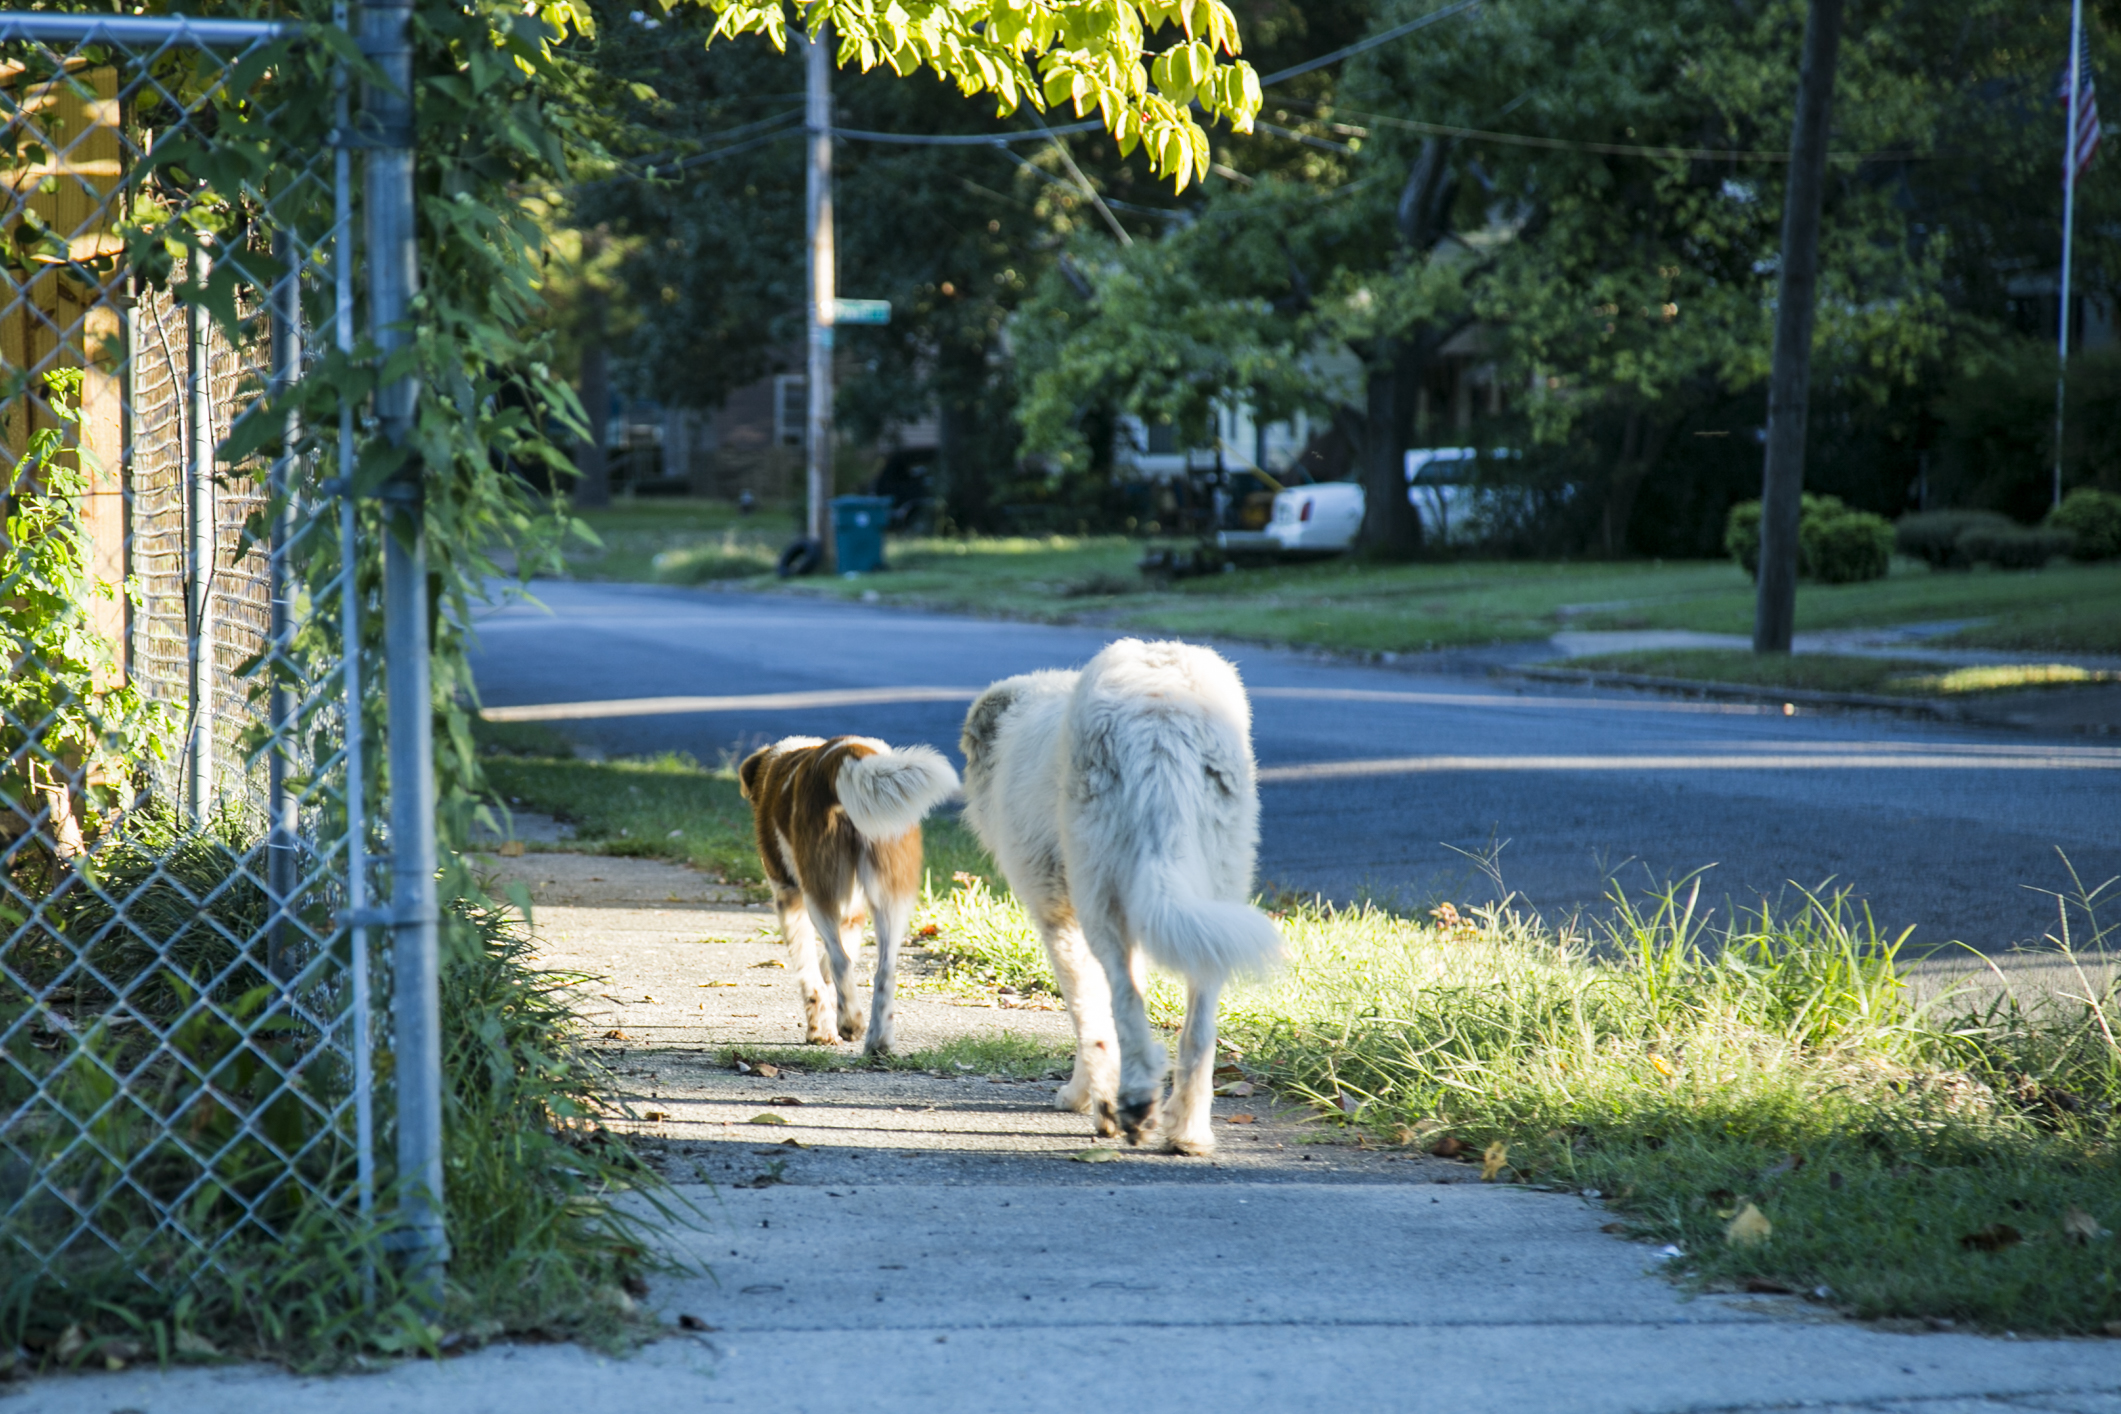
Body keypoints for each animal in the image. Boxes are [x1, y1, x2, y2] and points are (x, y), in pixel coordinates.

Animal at [733, 741, 958, 1051]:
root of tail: (849, 753)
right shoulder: (854, 912)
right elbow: (829, 967)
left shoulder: (788, 899)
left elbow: (812, 973)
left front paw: (820, 1030)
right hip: (891, 894)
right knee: (883, 969)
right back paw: (878, 1042)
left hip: (818, 893)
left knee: (841, 960)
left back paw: (850, 1023)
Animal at [958, 648, 1272, 1153]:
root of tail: (1160, 712)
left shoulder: (1058, 916)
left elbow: (1089, 1016)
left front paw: (1087, 1096)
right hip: (1217, 886)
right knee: (1199, 1021)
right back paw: (1188, 1131)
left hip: (1100, 898)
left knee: (1123, 1001)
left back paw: (1134, 1102)